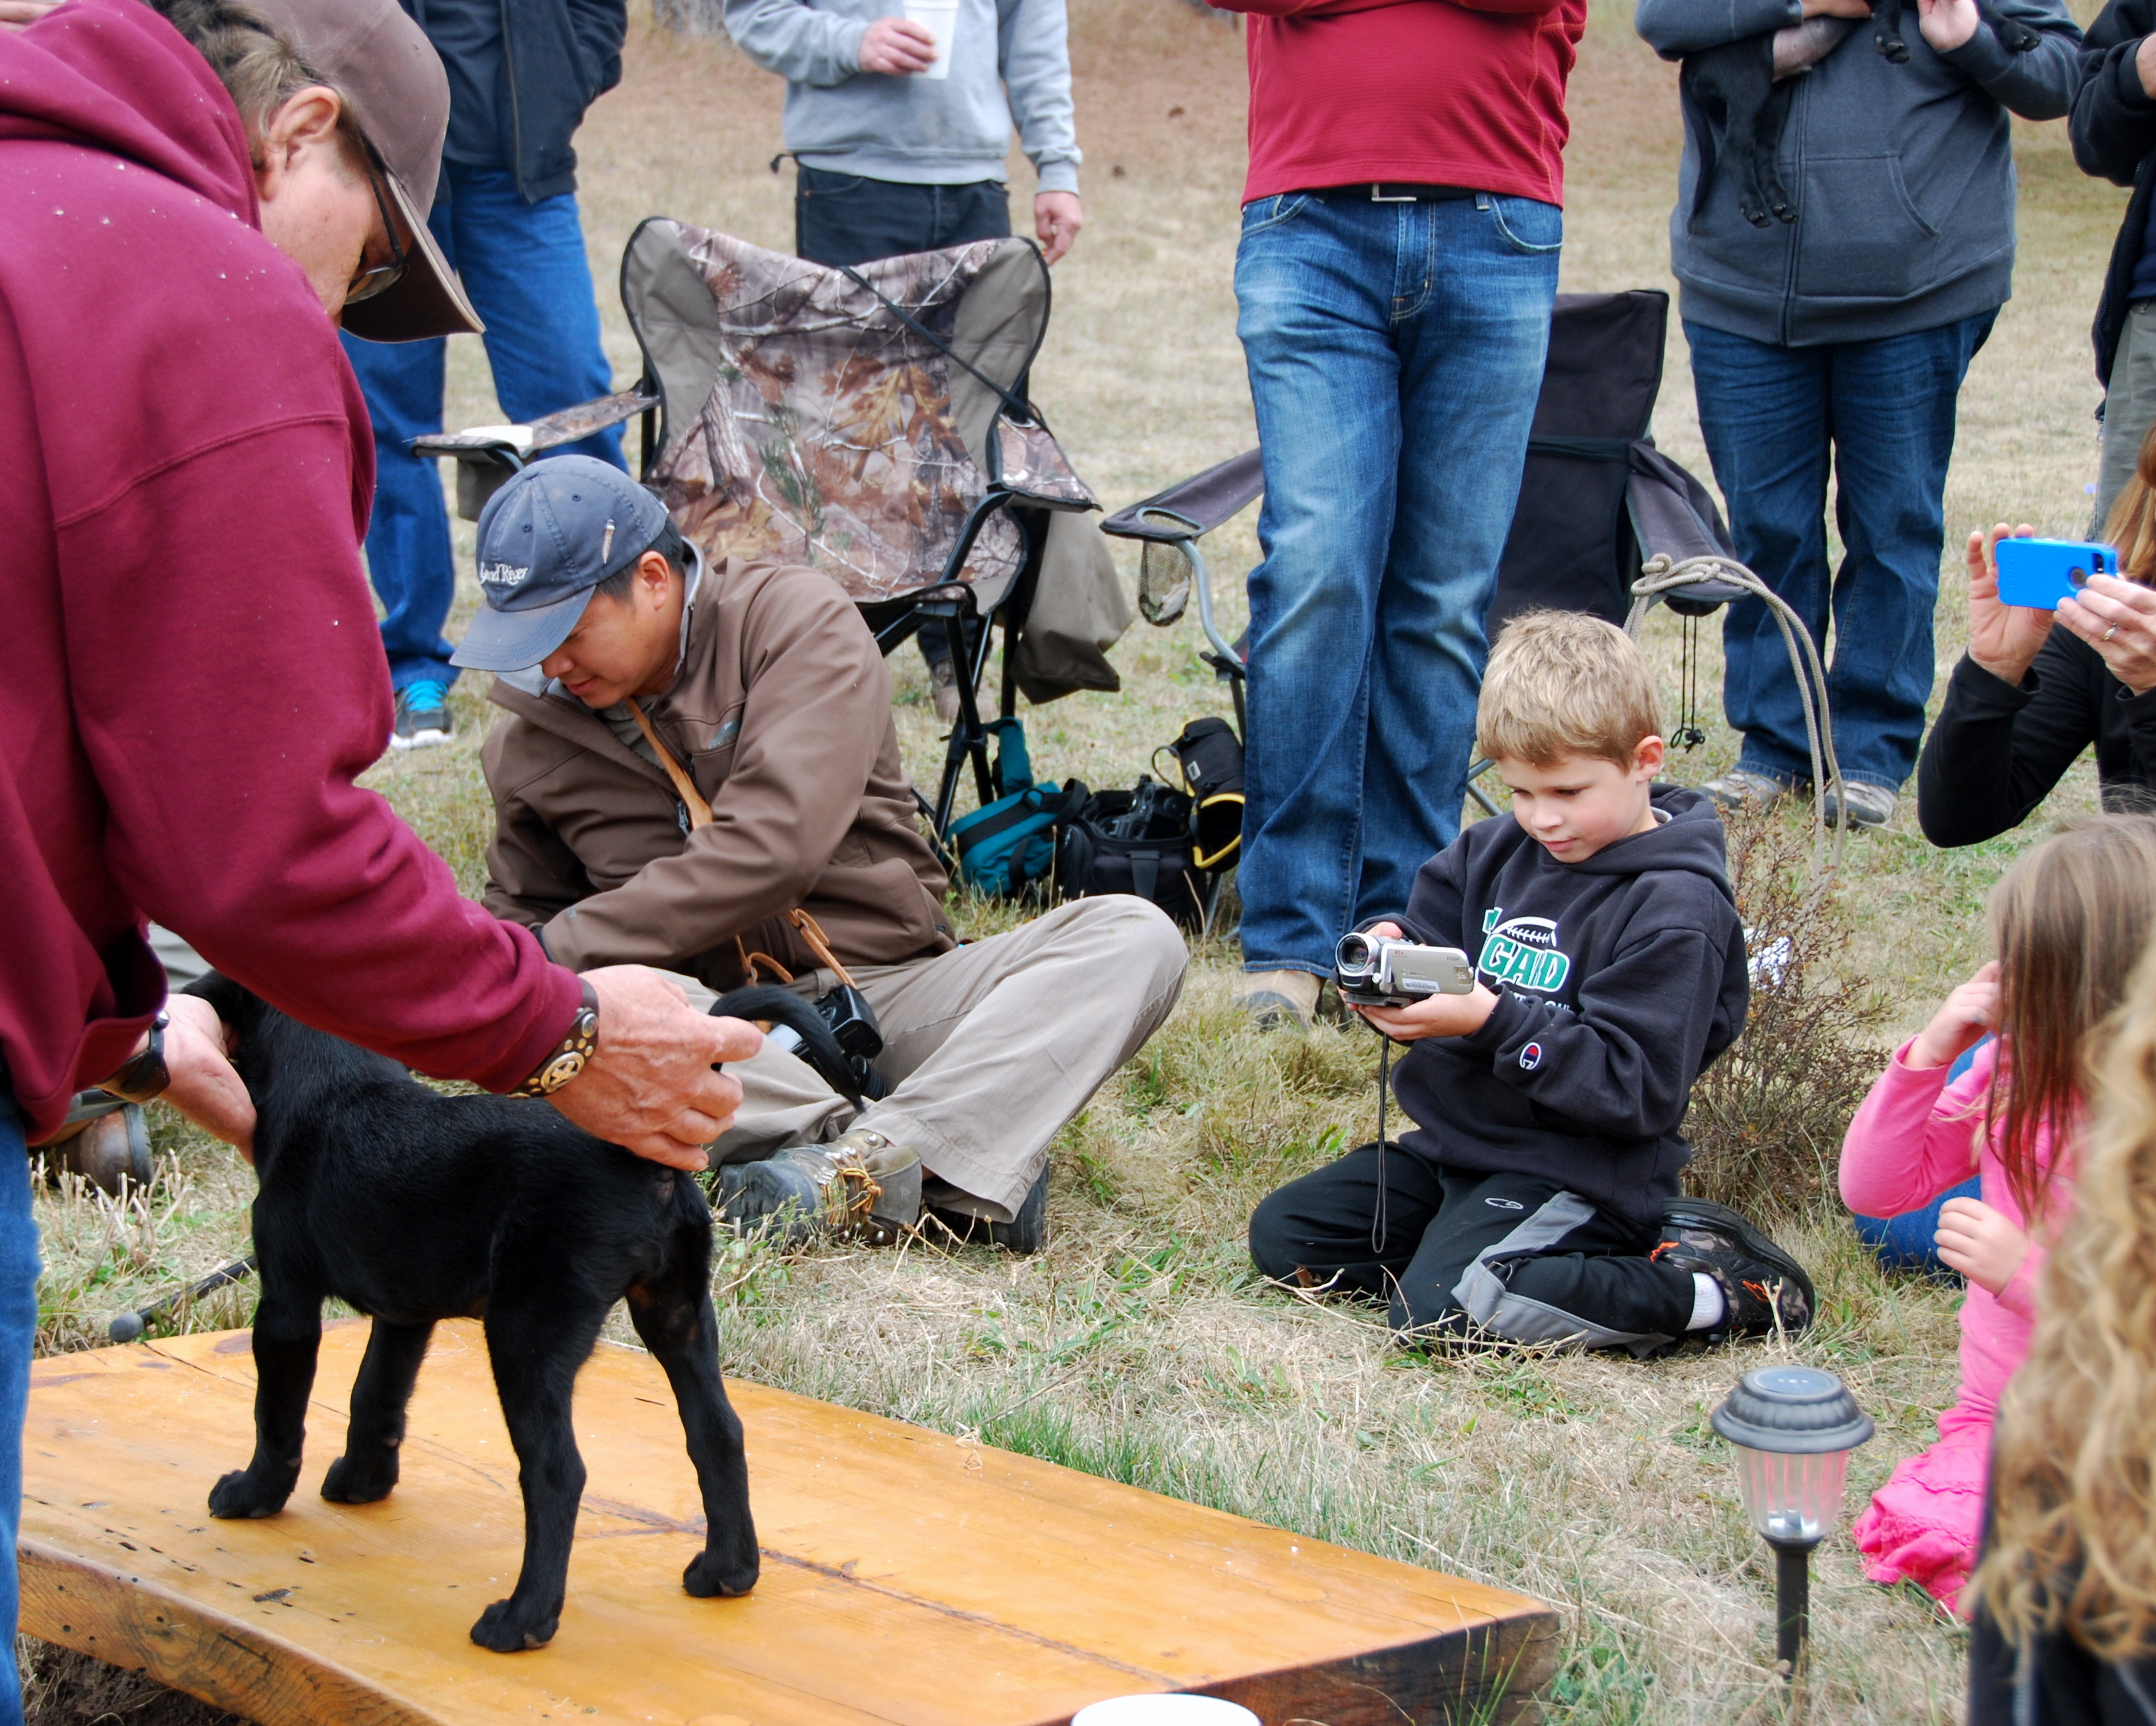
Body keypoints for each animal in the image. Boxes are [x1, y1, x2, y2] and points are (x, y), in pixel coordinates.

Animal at [184, 973, 855, 1652]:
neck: (334, 1089)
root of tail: (642, 1160)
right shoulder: (404, 1315)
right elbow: (375, 1396)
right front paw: (361, 1481)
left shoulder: (286, 1306)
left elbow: (277, 1416)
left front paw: (254, 1494)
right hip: (676, 1316)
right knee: (717, 1434)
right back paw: (727, 1571)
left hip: (524, 1338)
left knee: (557, 1473)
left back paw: (523, 1619)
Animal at [1682, 6, 2038, 230]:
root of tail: (1691, 64)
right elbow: (1890, 8)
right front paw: (1889, 39)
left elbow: (1983, 9)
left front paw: (2016, 32)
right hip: (1750, 78)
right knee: (1736, 147)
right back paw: (1753, 206)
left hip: (1777, 94)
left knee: (1764, 152)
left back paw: (1780, 203)